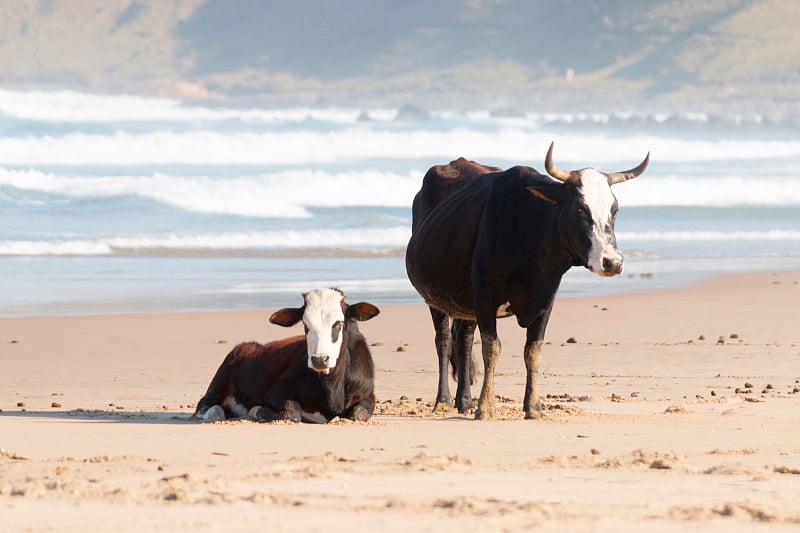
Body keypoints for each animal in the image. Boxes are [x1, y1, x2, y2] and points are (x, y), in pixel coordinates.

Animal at [195, 288, 382, 422]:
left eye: (338, 323)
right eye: (305, 325)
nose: (319, 359)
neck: (333, 388)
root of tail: (249, 345)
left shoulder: (368, 394)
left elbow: (358, 413)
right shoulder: (277, 391)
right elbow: (292, 413)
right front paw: (256, 411)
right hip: (218, 384)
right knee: (205, 406)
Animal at [406, 143, 648, 418]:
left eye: (614, 209)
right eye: (579, 209)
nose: (612, 262)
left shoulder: (545, 300)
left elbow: (533, 350)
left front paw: (532, 406)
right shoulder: (485, 296)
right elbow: (492, 349)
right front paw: (486, 407)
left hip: (465, 303)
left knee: (464, 341)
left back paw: (465, 401)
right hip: (435, 299)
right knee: (444, 342)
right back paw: (444, 401)